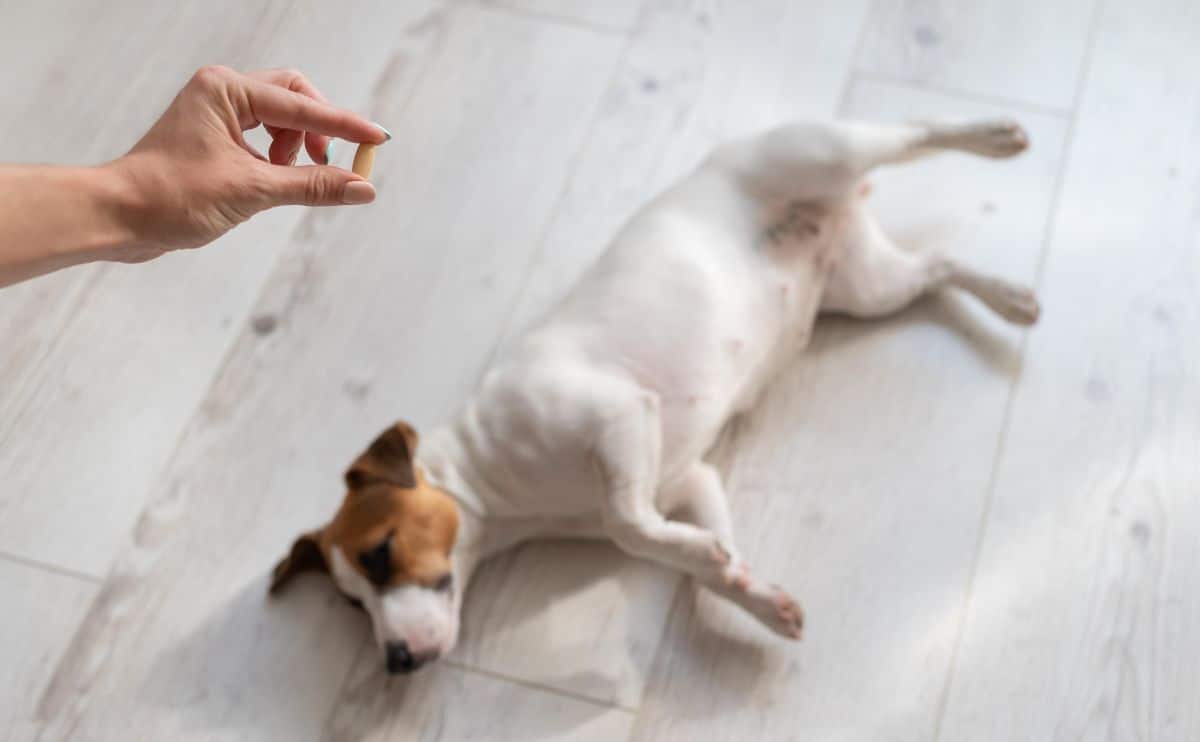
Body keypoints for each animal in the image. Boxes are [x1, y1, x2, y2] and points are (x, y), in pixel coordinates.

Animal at [267, 114, 1036, 672]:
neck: (496, 485)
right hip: (869, 289)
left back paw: (995, 137)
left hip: (829, 152)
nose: (394, 661)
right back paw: (1011, 296)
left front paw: (704, 561)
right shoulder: (690, 479)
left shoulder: (617, 413)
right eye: (351, 605)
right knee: (938, 269)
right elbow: (701, 560)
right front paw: (747, 590)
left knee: (914, 132)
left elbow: (627, 526)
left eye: (380, 554)